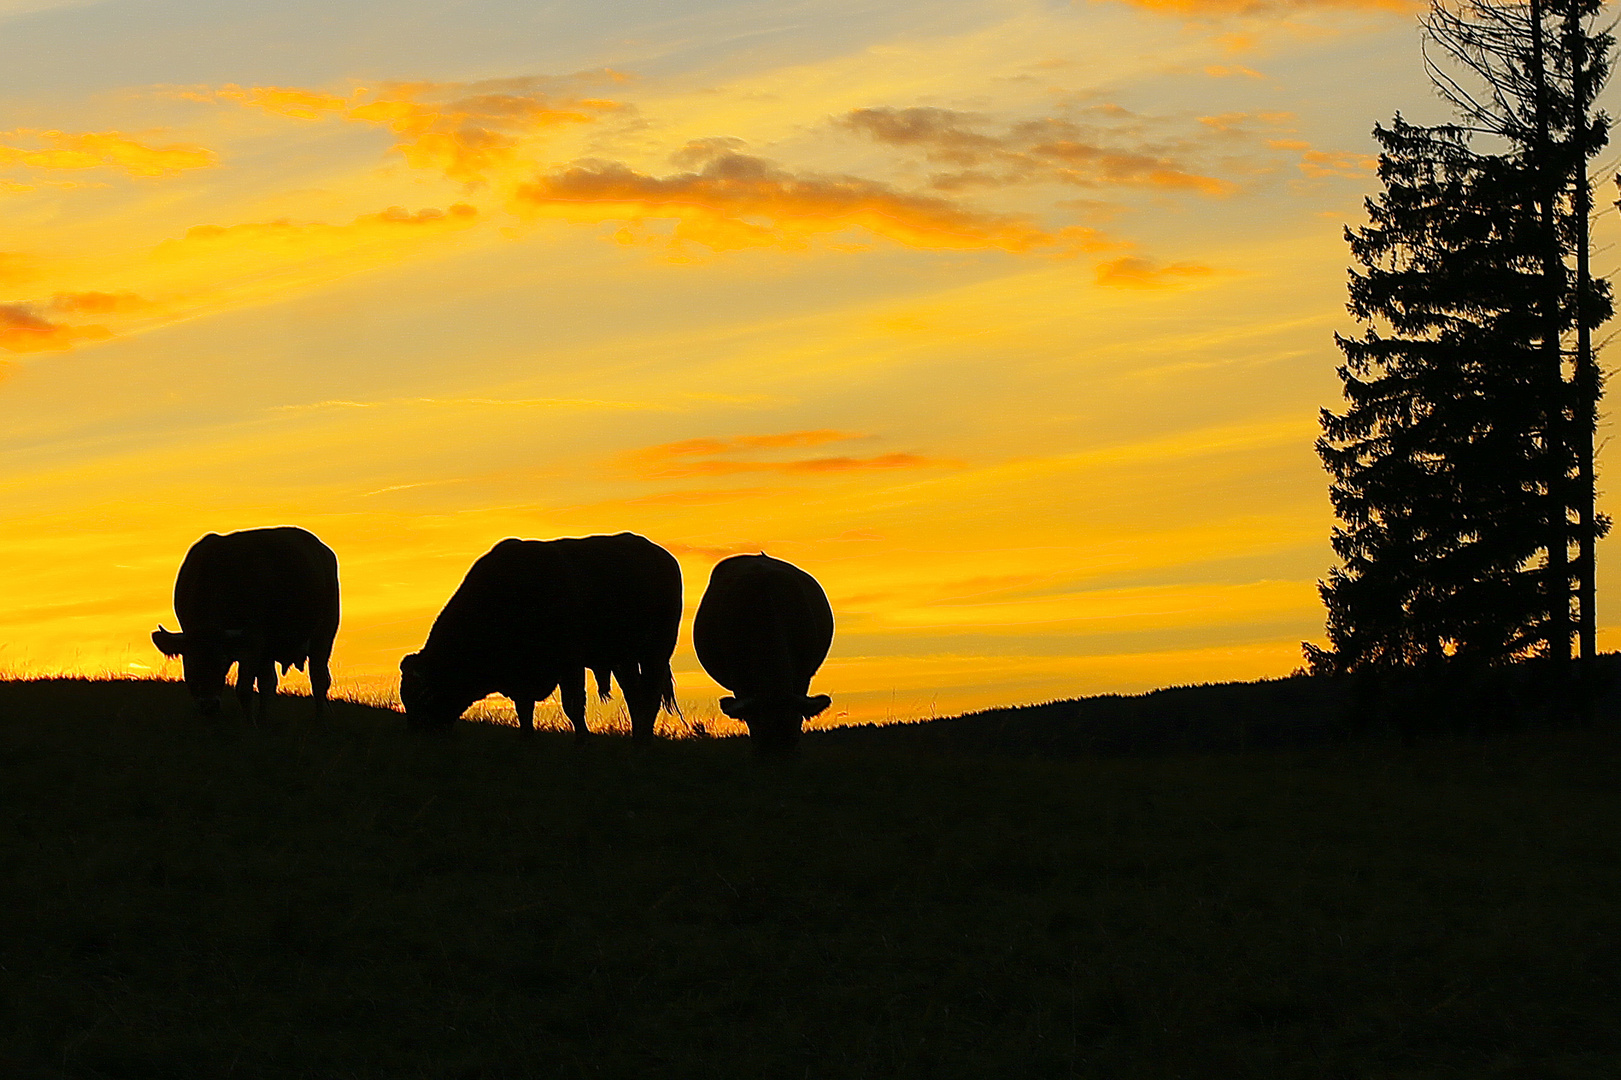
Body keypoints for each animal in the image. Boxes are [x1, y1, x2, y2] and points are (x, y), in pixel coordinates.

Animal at [152, 525, 342, 720]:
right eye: (190, 664)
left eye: (222, 664)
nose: (209, 706)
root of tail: (322, 549)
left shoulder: (253, 642)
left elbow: (243, 689)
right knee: (269, 683)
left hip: (324, 634)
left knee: (319, 680)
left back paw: (320, 719)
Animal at [408, 531, 687, 739]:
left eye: (423, 694)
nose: (419, 732)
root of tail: (663, 557)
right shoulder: (522, 676)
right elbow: (524, 709)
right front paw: (527, 740)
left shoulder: (569, 663)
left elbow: (573, 705)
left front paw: (583, 741)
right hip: (624, 660)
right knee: (635, 695)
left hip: (655, 653)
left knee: (650, 693)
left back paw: (644, 739)